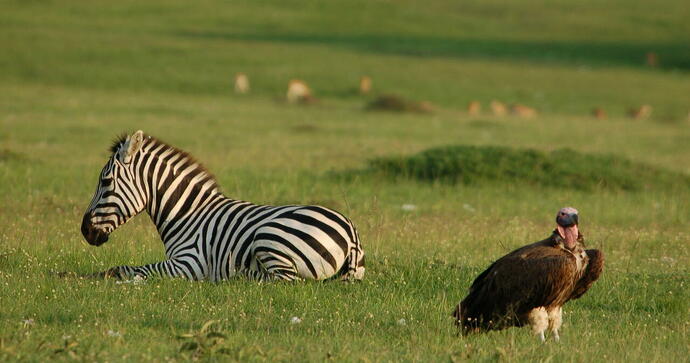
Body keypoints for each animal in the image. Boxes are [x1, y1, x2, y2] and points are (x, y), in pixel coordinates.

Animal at [79, 129, 366, 282]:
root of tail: (350, 233)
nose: (84, 230)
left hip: (269, 237)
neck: (186, 214)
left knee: (284, 280)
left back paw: (236, 277)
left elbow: (125, 268)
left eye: (105, 182)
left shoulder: (189, 263)